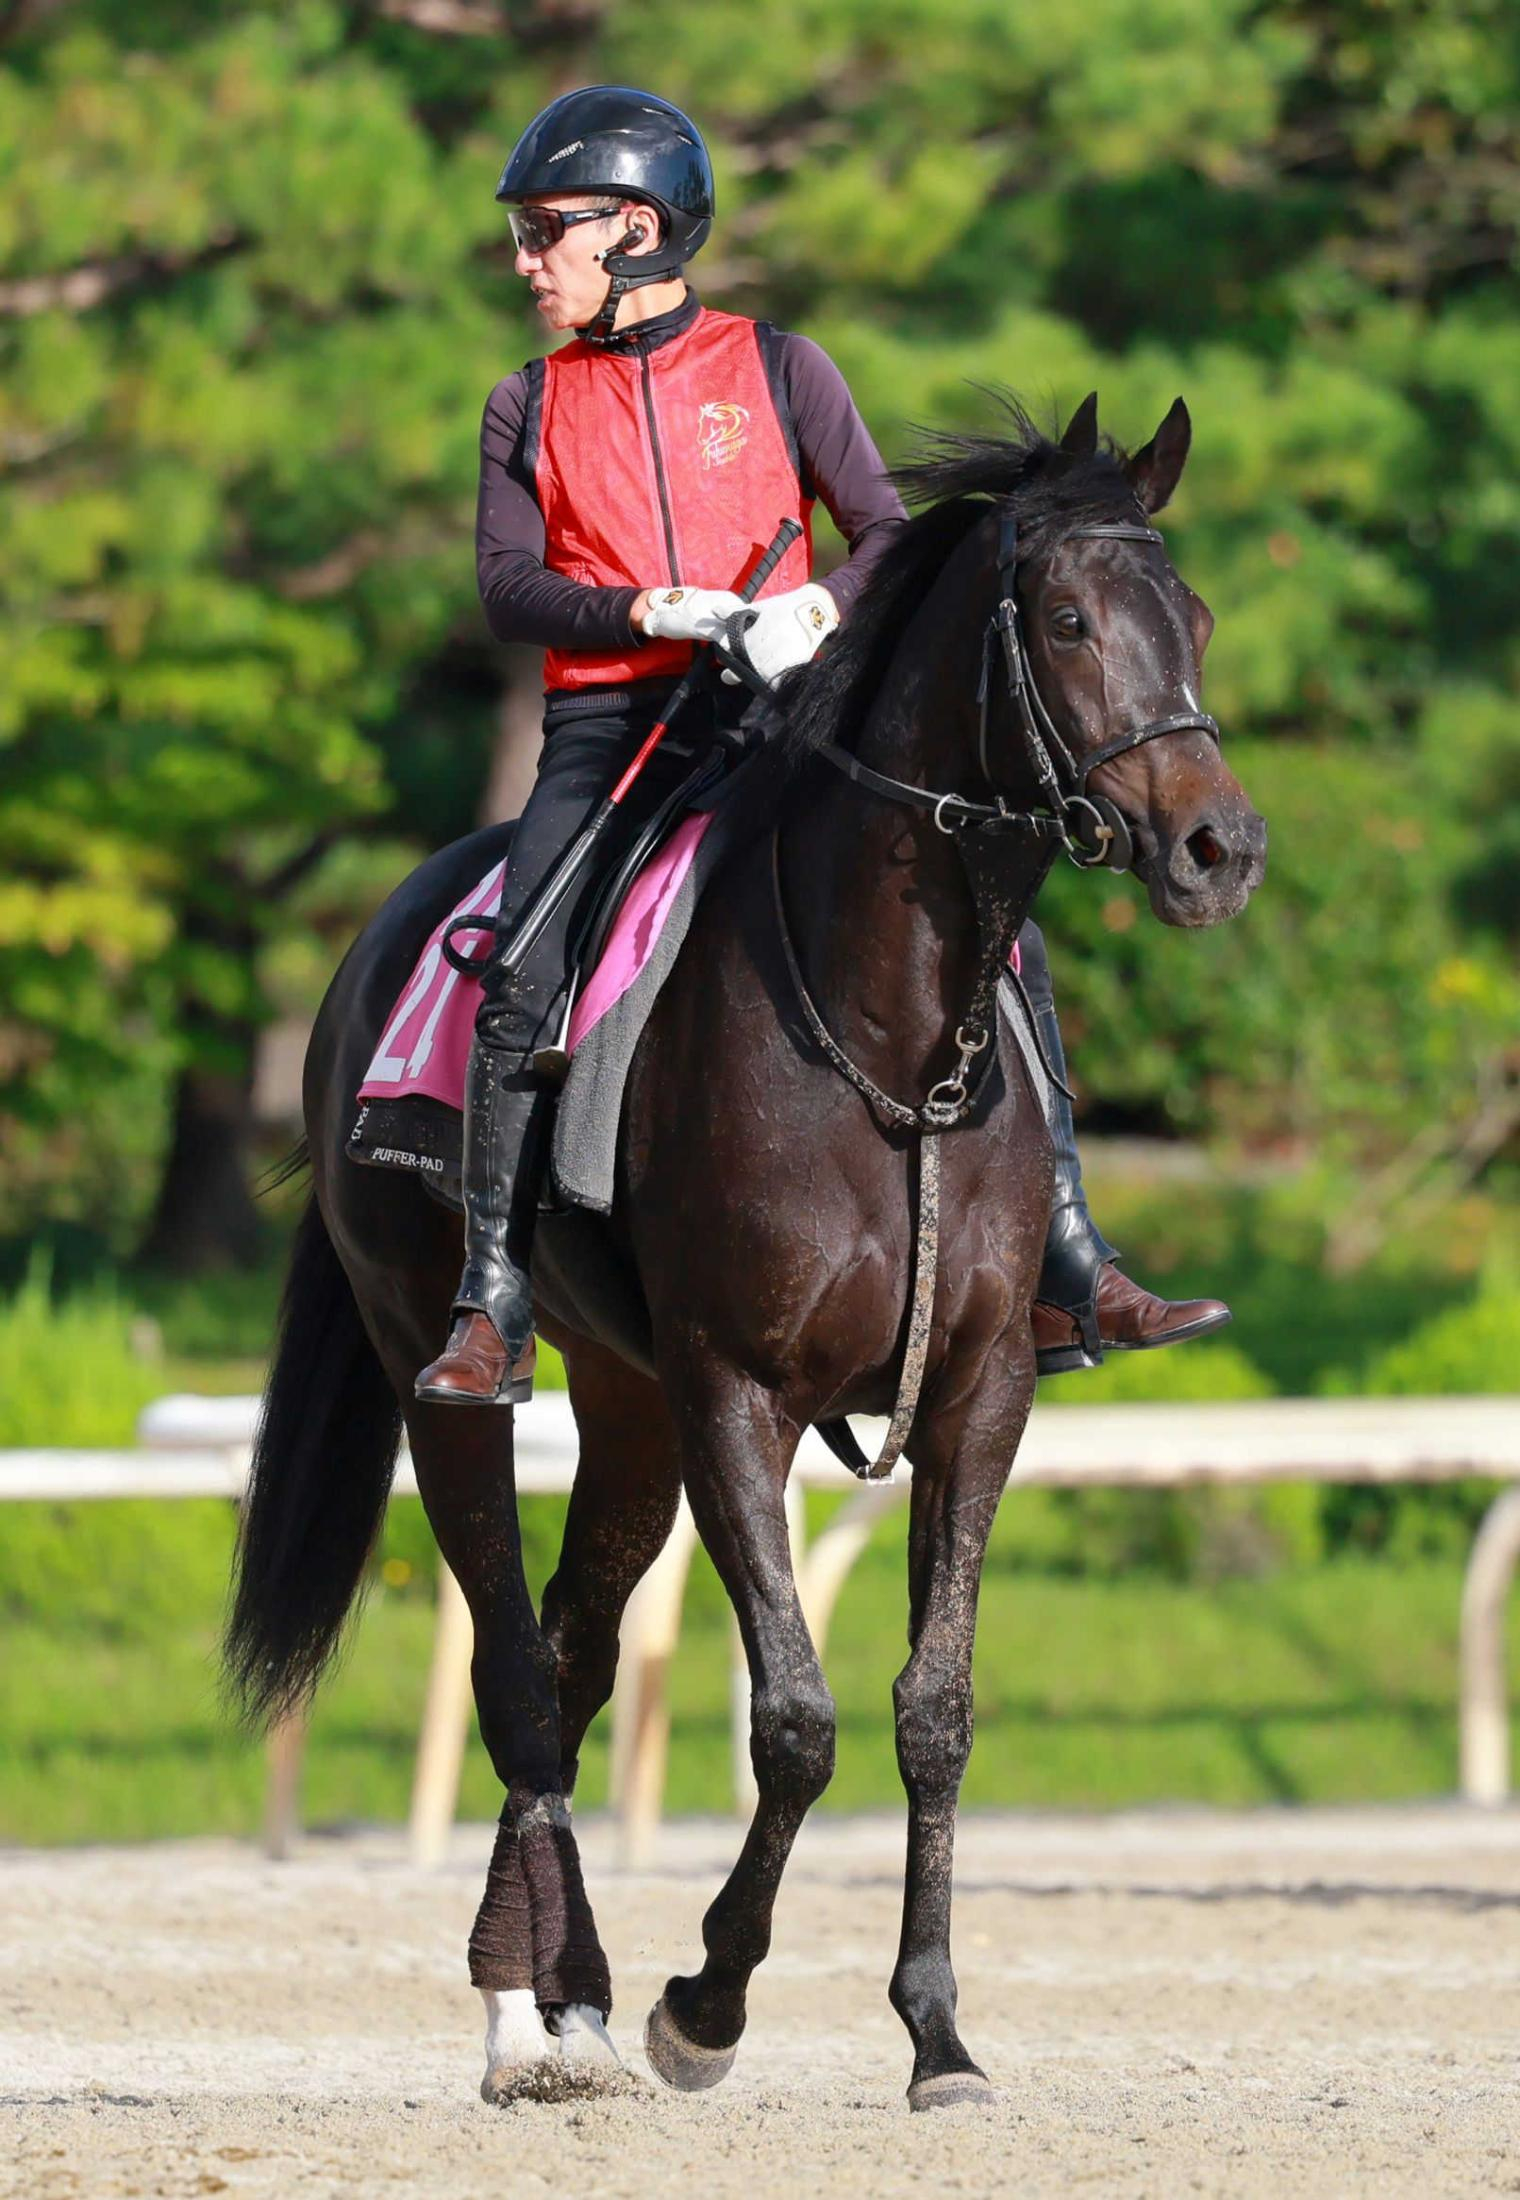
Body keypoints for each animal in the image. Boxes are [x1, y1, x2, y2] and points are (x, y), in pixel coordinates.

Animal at [225, 392, 1267, 2108]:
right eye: (1063, 620)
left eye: (1189, 616)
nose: (1216, 849)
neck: (887, 1037)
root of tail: (383, 933)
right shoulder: (737, 1392)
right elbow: (795, 1718)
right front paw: (703, 2002)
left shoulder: (978, 1394)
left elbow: (933, 1711)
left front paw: (936, 2030)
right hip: (452, 1369)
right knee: (515, 1667)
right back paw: (525, 2015)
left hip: (628, 1404)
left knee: (573, 1654)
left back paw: (562, 1991)